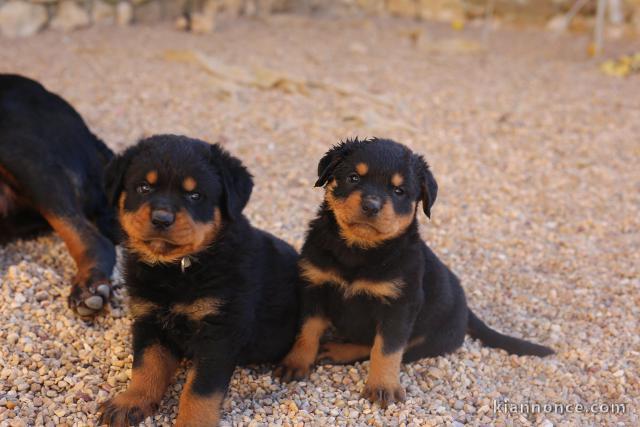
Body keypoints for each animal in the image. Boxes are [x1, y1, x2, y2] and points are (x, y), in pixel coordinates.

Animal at [99, 135, 302, 426]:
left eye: (195, 196)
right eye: (144, 187)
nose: (162, 218)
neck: (177, 269)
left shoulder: (219, 331)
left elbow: (199, 390)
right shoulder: (148, 318)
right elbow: (146, 365)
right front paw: (131, 401)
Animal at [276, 137, 556, 408]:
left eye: (398, 191)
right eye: (353, 177)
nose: (371, 205)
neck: (358, 251)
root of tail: (466, 311)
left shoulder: (400, 304)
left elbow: (386, 348)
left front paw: (383, 387)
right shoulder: (314, 284)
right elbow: (307, 329)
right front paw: (295, 363)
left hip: (430, 338)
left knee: (382, 346)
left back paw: (339, 351)